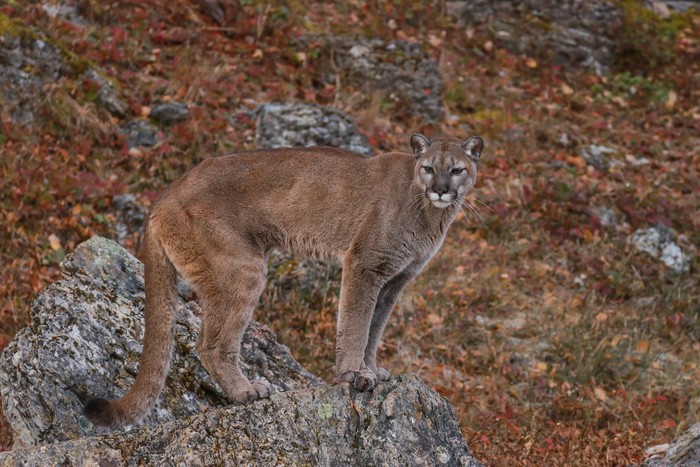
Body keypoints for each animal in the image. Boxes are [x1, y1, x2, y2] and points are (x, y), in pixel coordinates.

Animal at [83, 132, 482, 428]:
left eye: (457, 169)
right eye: (429, 168)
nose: (441, 188)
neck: (429, 214)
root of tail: (165, 194)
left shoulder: (393, 282)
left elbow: (374, 329)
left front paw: (371, 369)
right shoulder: (366, 266)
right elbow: (355, 324)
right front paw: (353, 374)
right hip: (243, 268)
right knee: (211, 345)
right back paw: (246, 392)